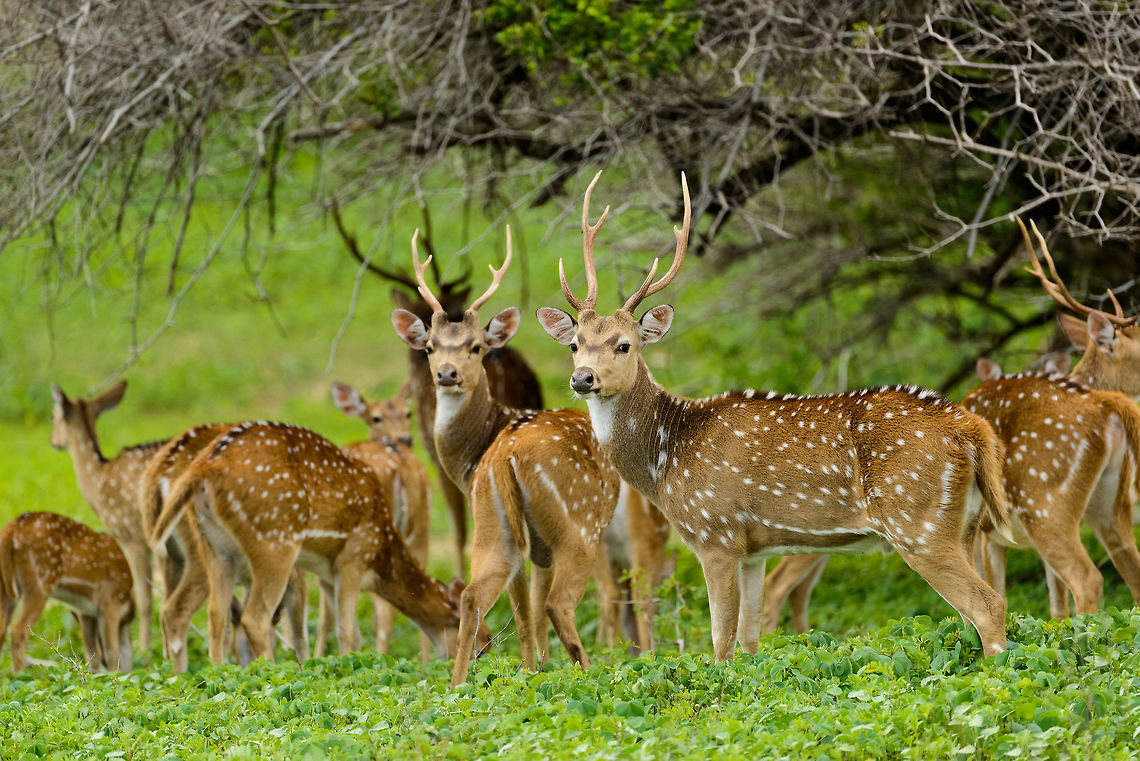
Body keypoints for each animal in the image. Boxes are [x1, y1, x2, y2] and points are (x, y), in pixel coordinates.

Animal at [0, 512, 134, 672]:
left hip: (6, 587)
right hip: (40, 581)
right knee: (18, 629)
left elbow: (93, 653)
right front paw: (114, 674)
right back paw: (19, 674)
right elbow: (112, 652)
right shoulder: (111, 600)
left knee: (2, 628)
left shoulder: (86, 611)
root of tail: (11, 530)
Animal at [50, 380, 167, 657]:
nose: (52, 441)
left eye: (52, 416)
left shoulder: (131, 536)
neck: (98, 479)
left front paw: (144, 654)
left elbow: (145, 598)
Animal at [390, 227, 622, 687]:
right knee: (565, 600)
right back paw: (593, 671)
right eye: (429, 347)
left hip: (500, 527)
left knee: (474, 595)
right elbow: (530, 605)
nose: (447, 373)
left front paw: (534, 668)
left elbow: (523, 606)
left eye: (476, 347)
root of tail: (506, 458)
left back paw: (459, 685)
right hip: (579, 525)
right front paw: (539, 667)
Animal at [537, 170, 1013, 659]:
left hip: (917, 521)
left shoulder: (716, 534)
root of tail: (971, 429)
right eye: (574, 344)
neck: (667, 459)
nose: (583, 378)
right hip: (966, 524)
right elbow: (749, 641)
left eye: (624, 345)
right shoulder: (754, 551)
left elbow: (721, 642)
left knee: (988, 605)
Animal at [960, 219, 1140, 618]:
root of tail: (1106, 405)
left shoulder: (983, 530)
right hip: (1109, 504)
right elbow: (1055, 606)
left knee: (1088, 579)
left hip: (1044, 501)